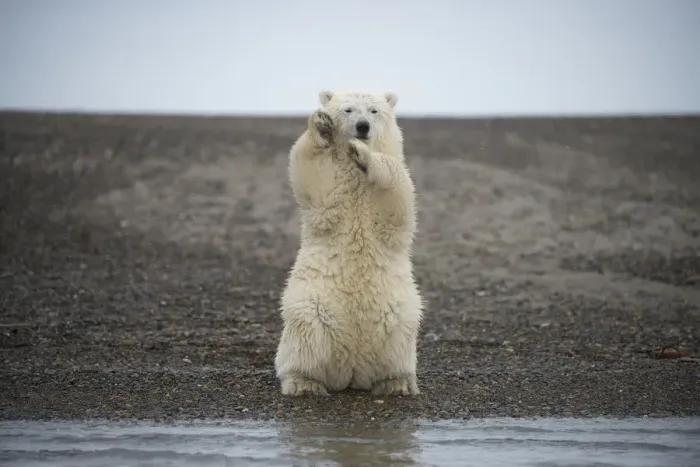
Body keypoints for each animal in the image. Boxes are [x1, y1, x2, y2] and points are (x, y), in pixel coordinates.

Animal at [274, 90, 423, 396]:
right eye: (348, 110)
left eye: (374, 111)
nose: (362, 127)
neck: (356, 179)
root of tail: (353, 371)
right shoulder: (334, 191)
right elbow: (312, 168)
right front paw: (321, 126)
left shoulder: (391, 190)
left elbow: (397, 189)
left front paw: (363, 154)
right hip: (311, 306)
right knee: (305, 340)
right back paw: (304, 382)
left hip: (398, 315)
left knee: (398, 342)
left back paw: (397, 382)